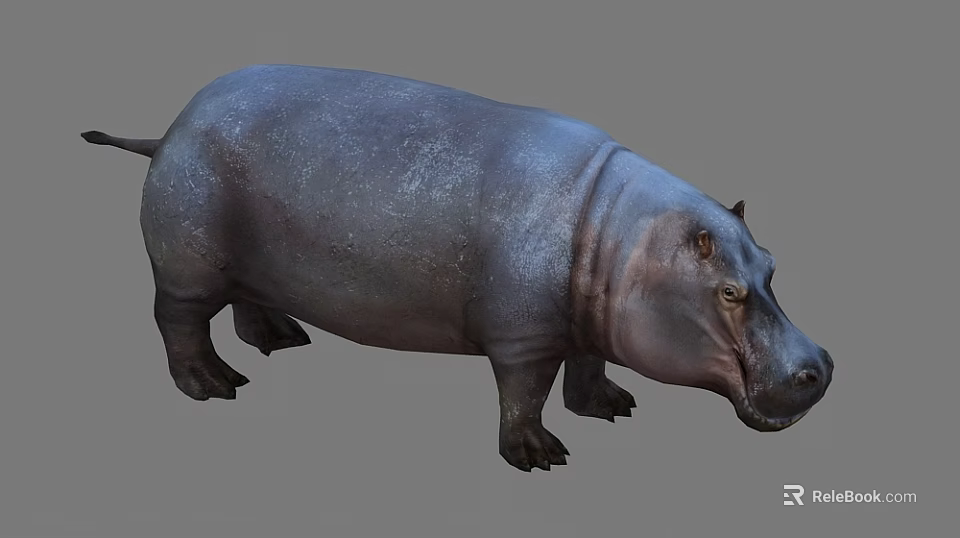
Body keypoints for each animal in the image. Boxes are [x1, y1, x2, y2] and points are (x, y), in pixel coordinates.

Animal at [81, 64, 833, 472]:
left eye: (772, 263)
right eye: (729, 290)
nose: (821, 366)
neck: (622, 242)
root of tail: (174, 124)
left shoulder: (586, 322)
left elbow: (589, 363)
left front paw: (613, 407)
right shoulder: (524, 337)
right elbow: (524, 393)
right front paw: (541, 456)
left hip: (246, 262)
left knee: (246, 302)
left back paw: (282, 339)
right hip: (188, 266)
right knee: (177, 323)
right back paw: (215, 386)